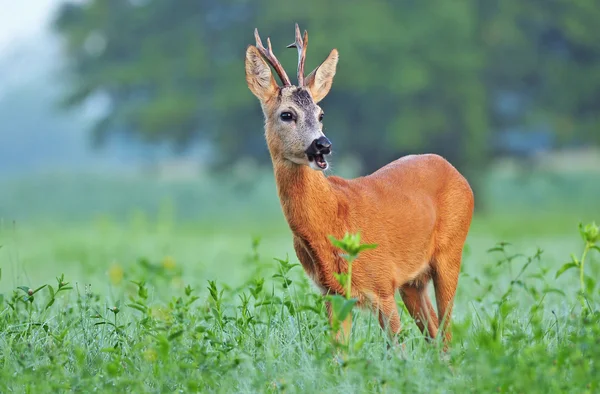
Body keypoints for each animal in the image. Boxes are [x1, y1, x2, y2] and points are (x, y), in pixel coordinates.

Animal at [244, 23, 474, 350]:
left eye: (321, 114)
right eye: (287, 114)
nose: (323, 145)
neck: (335, 217)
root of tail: (455, 172)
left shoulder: (382, 283)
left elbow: (398, 351)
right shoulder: (333, 294)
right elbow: (338, 354)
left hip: (450, 252)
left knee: (446, 334)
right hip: (413, 282)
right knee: (433, 331)